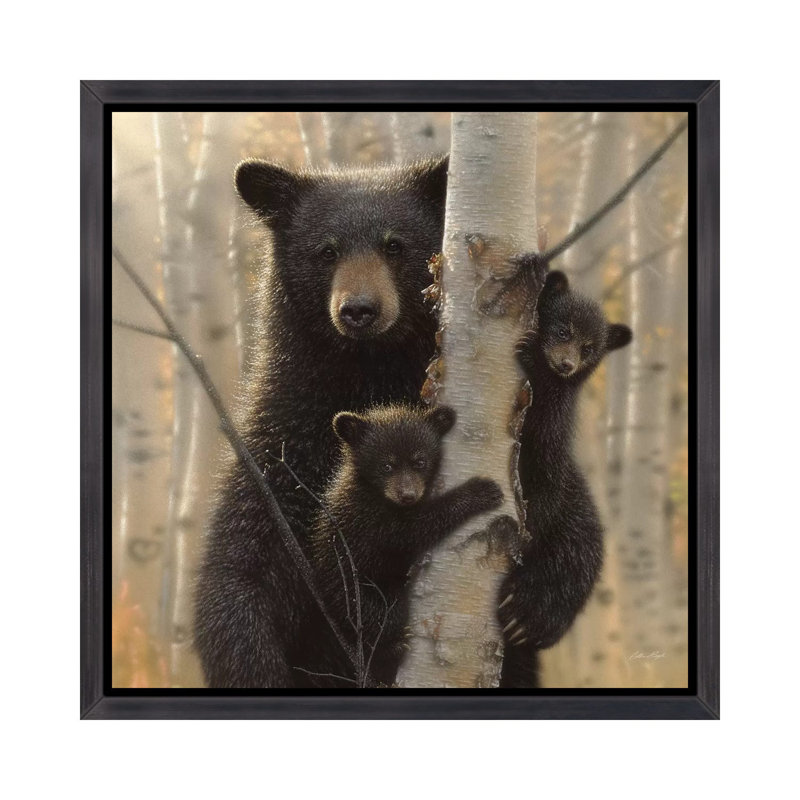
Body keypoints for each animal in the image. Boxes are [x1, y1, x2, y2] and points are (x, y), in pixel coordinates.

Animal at [193, 157, 450, 688]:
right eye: (326, 251)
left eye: (395, 245)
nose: (359, 310)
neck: (367, 377)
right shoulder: (283, 450)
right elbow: (239, 571)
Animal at [303, 404, 504, 687]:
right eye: (386, 465)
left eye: (420, 461)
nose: (407, 495)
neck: (374, 492)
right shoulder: (369, 519)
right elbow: (412, 530)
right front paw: (480, 491)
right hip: (353, 592)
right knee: (378, 617)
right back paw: (392, 647)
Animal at [497, 270, 633, 688]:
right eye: (561, 330)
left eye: (589, 347)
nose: (567, 364)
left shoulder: (551, 439)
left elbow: (545, 484)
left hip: (579, 539)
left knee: (567, 573)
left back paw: (526, 616)